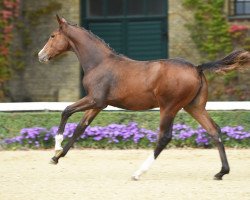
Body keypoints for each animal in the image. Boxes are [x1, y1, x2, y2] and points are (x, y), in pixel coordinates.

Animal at [37, 15, 250, 180]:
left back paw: (138, 172)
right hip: (194, 107)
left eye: (52, 36)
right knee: (214, 130)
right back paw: (221, 172)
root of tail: (197, 68)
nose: (40, 56)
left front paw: (56, 147)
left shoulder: (95, 99)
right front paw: (56, 157)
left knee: (164, 137)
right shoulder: (98, 105)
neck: (99, 63)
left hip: (169, 107)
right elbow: (81, 128)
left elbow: (66, 111)